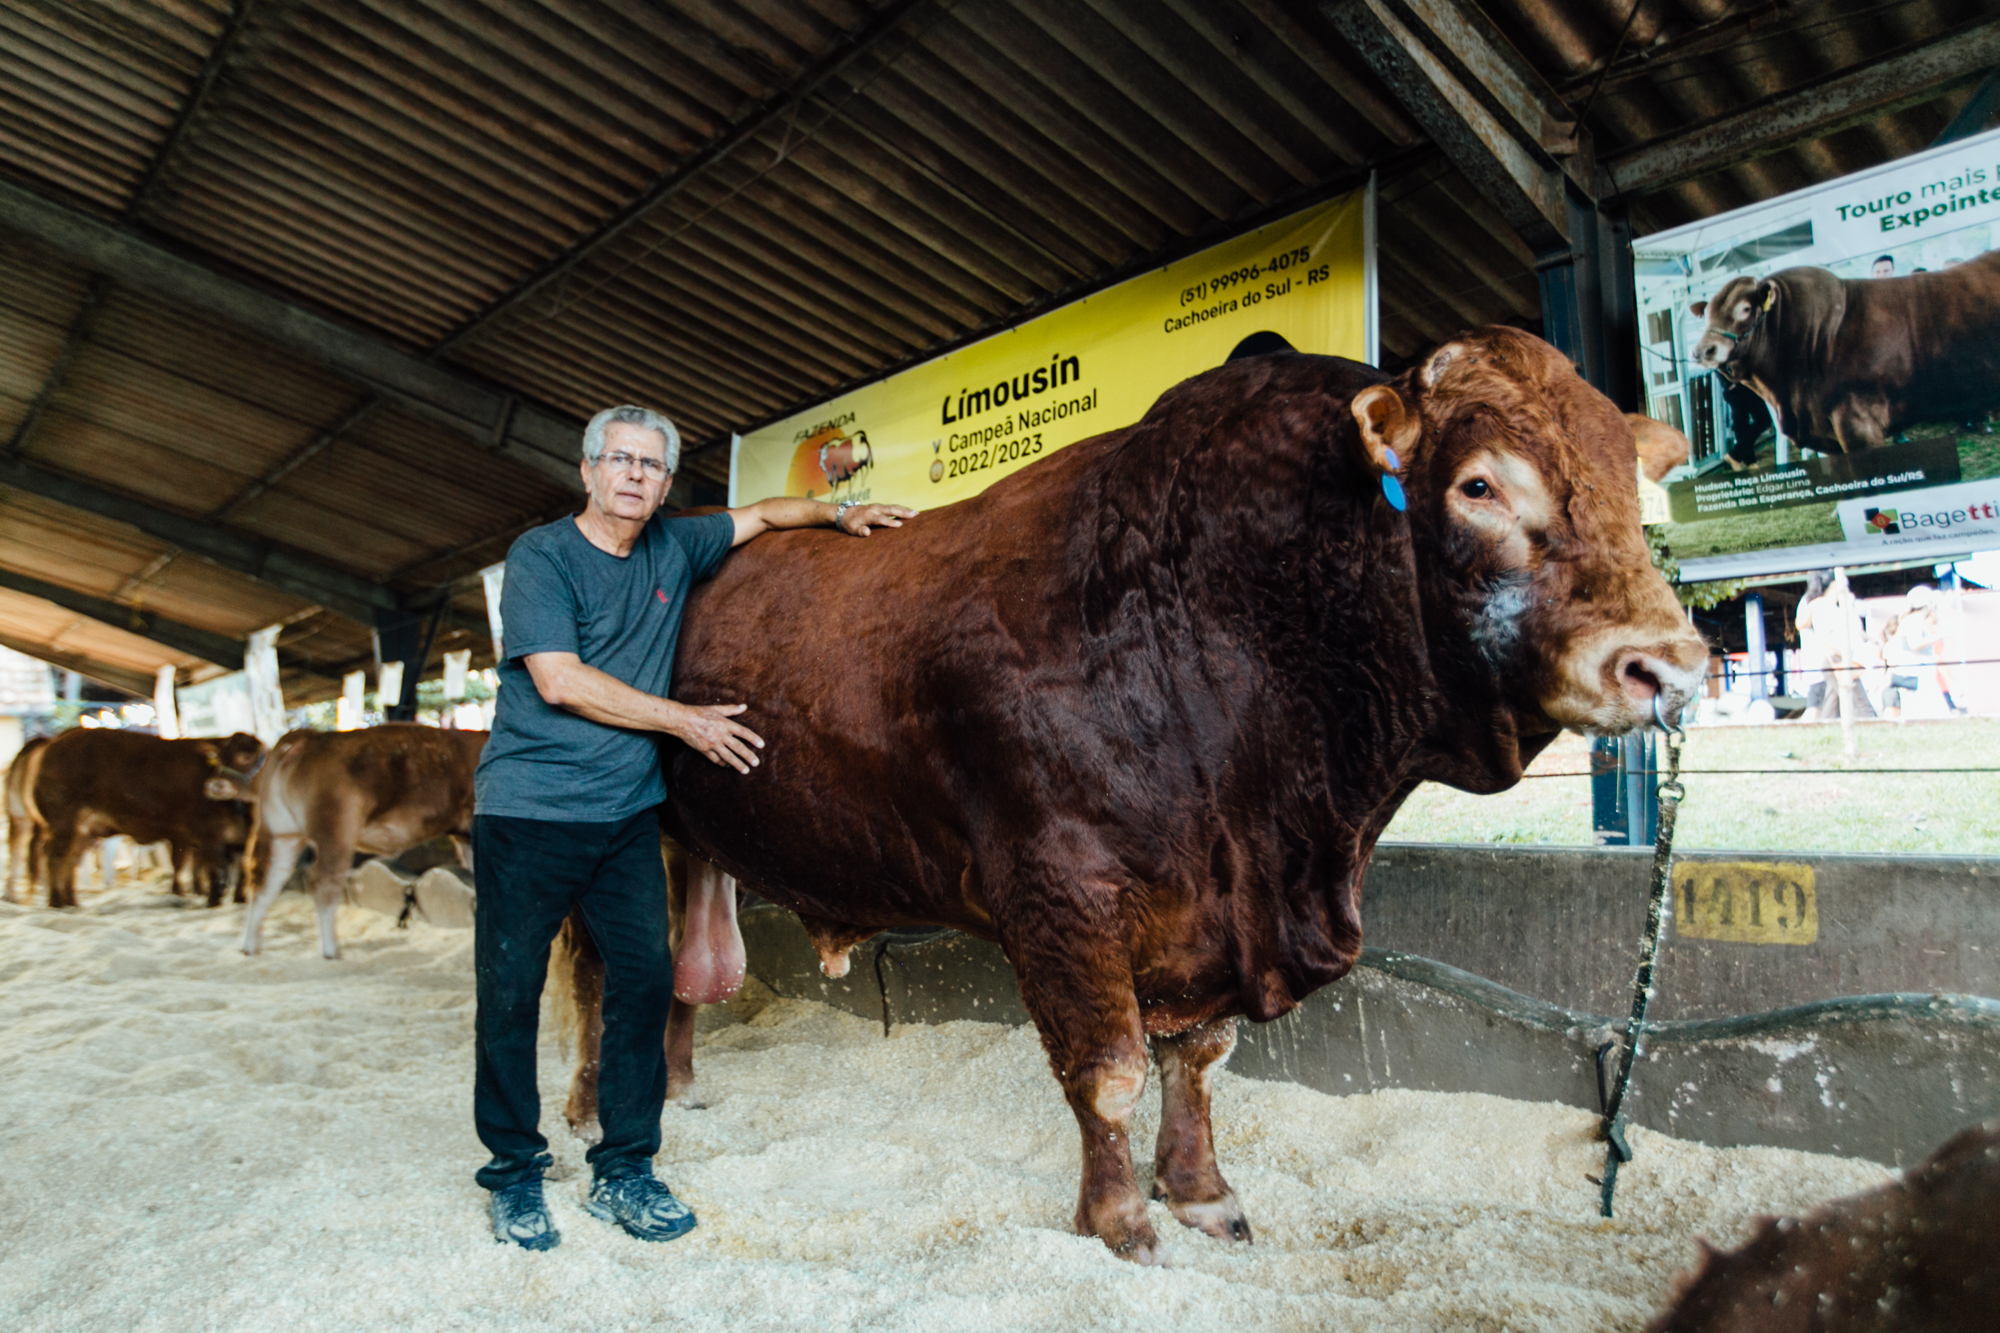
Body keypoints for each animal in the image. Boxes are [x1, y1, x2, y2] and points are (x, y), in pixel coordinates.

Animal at [220, 728, 488, 956]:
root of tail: (307, 738)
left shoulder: (464, 836)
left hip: (282, 834)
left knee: (267, 880)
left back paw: (249, 945)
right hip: (335, 831)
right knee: (323, 884)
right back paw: (331, 950)